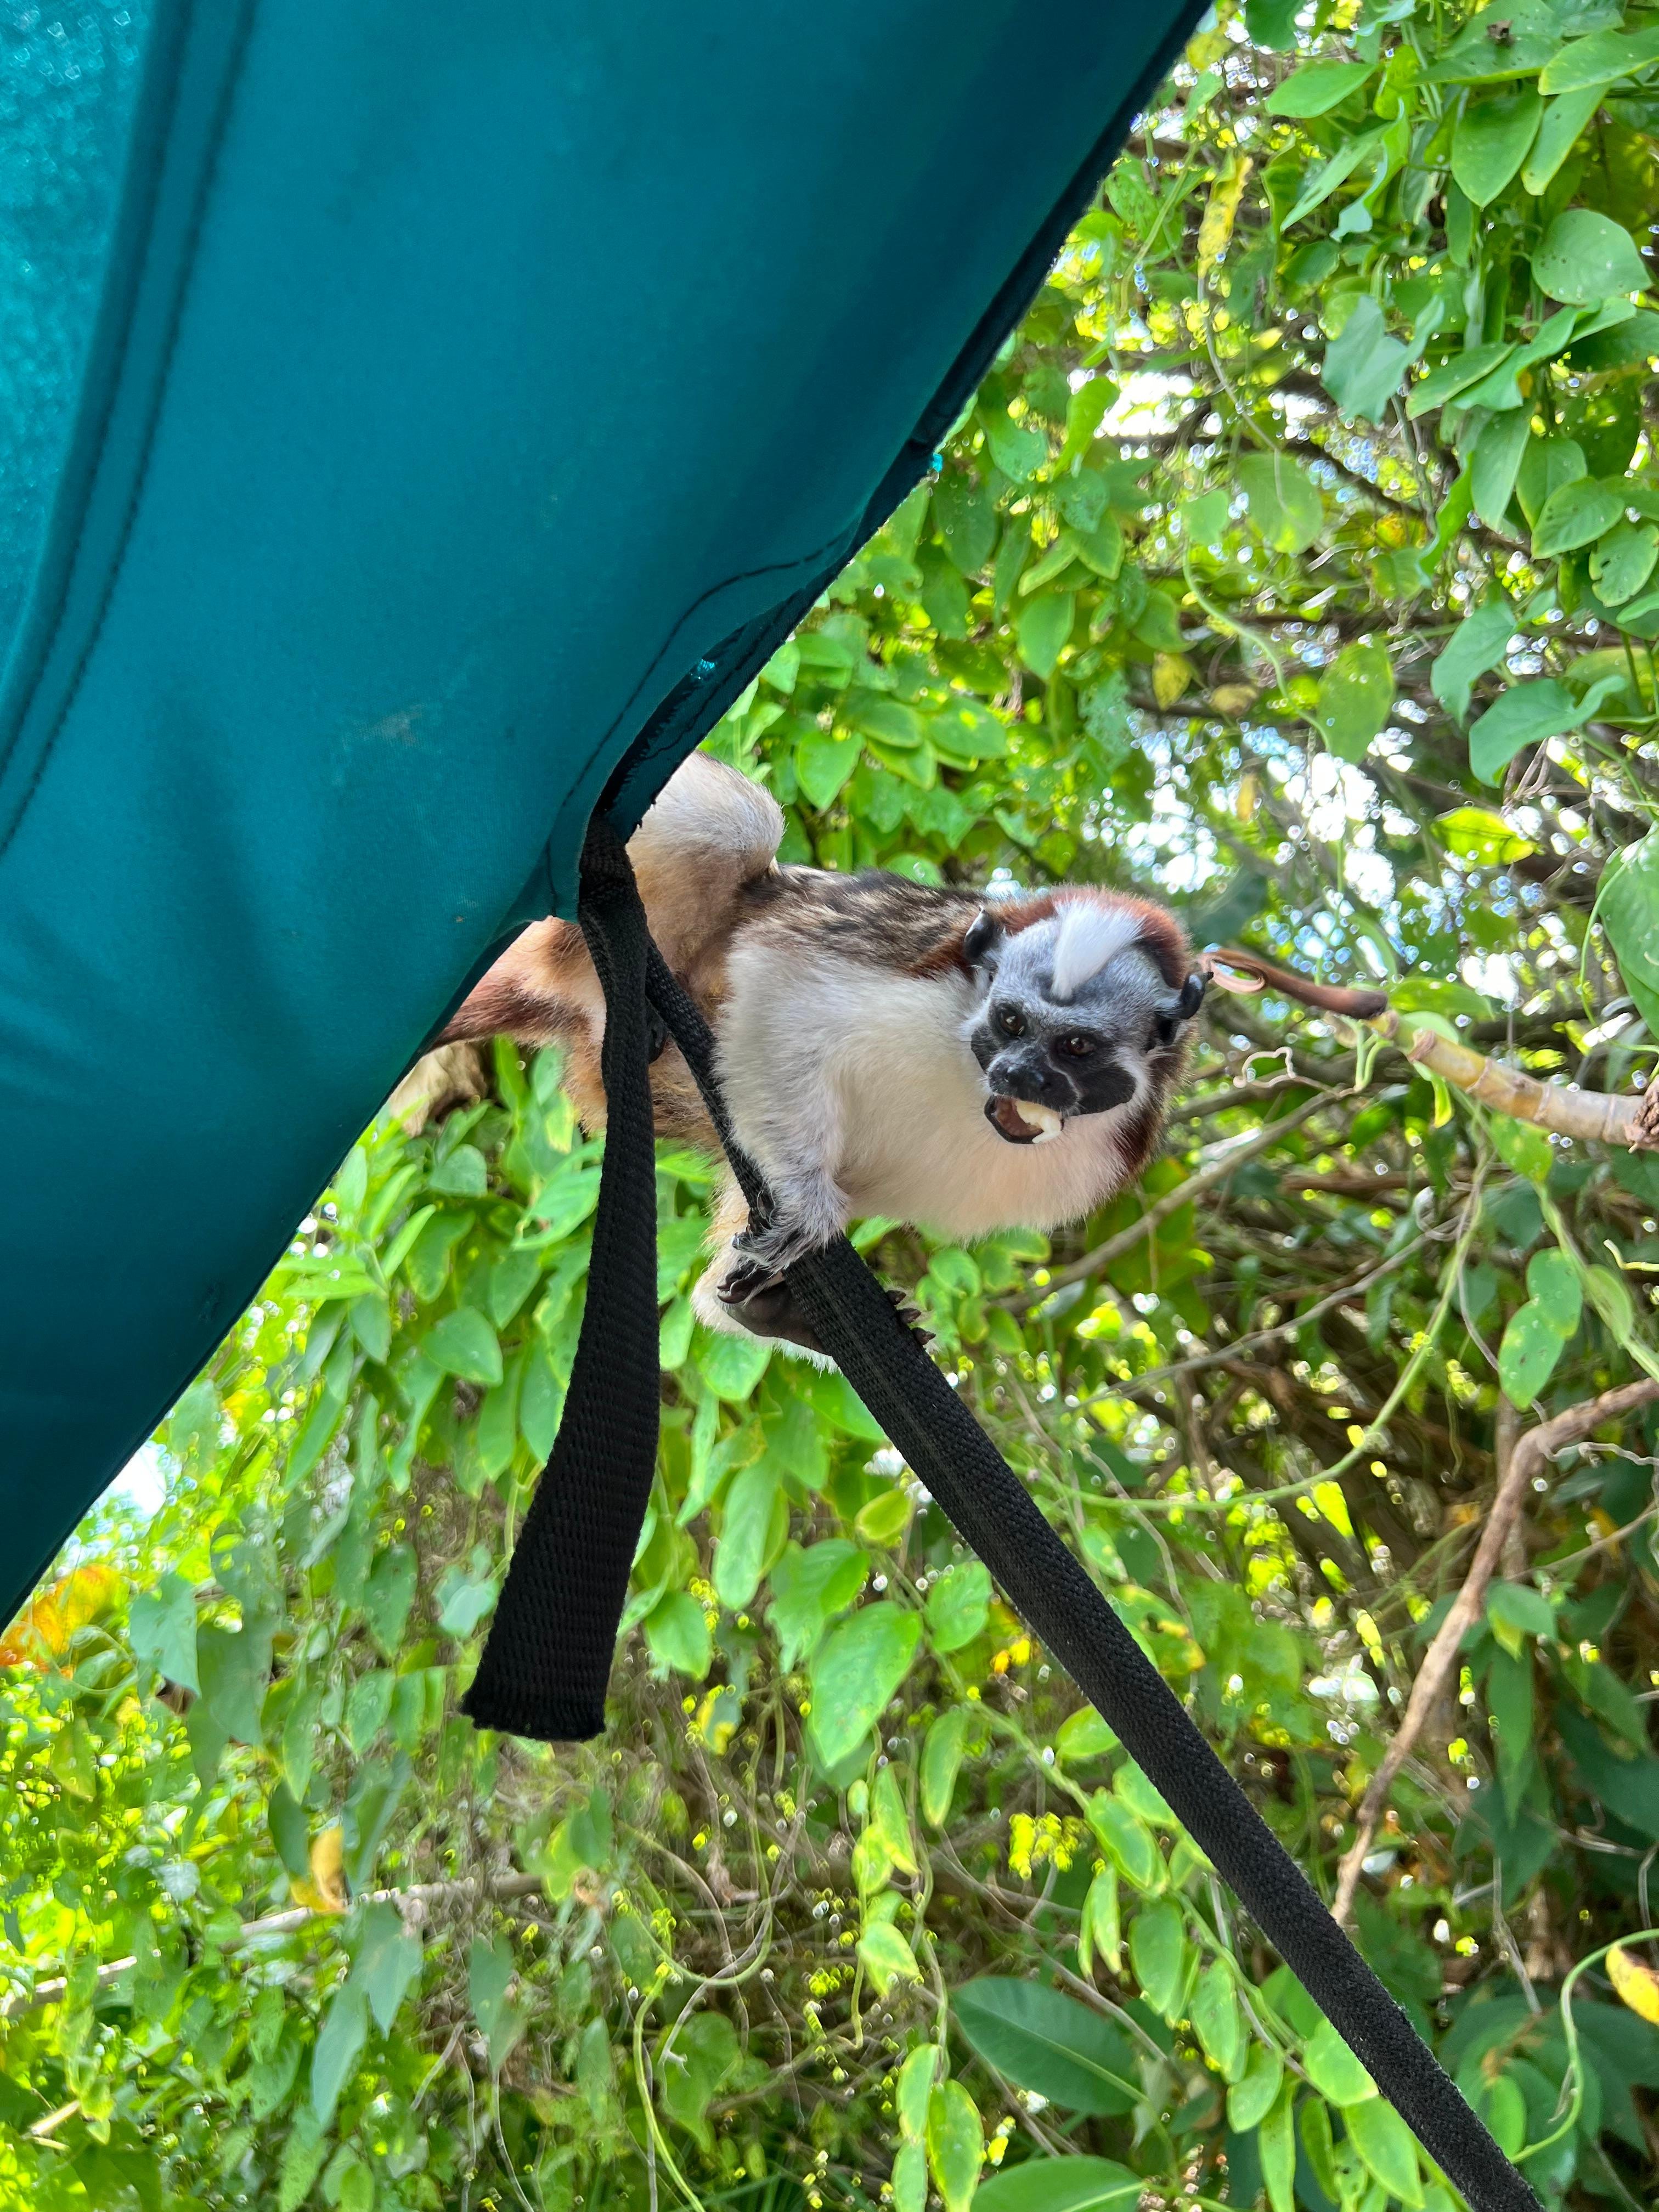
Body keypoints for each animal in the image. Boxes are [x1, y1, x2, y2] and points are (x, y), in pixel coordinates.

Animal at [440, 751, 1206, 1357]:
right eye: (1011, 1022)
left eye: (1075, 1047)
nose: (1018, 1073)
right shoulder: (913, 979)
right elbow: (783, 989)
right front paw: (809, 1207)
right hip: (572, 937)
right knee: (740, 823)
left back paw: (767, 1311)